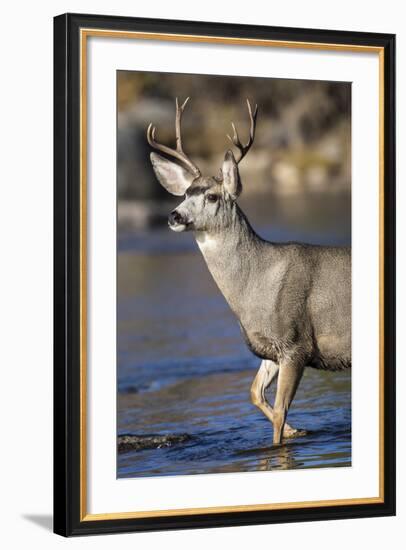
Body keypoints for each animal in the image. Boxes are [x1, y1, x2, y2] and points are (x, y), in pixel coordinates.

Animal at [147, 97, 352, 446]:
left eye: (212, 196)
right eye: (185, 193)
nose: (174, 216)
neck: (257, 284)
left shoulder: (296, 342)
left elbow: (279, 412)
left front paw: (283, 439)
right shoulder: (269, 349)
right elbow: (255, 393)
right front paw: (299, 430)